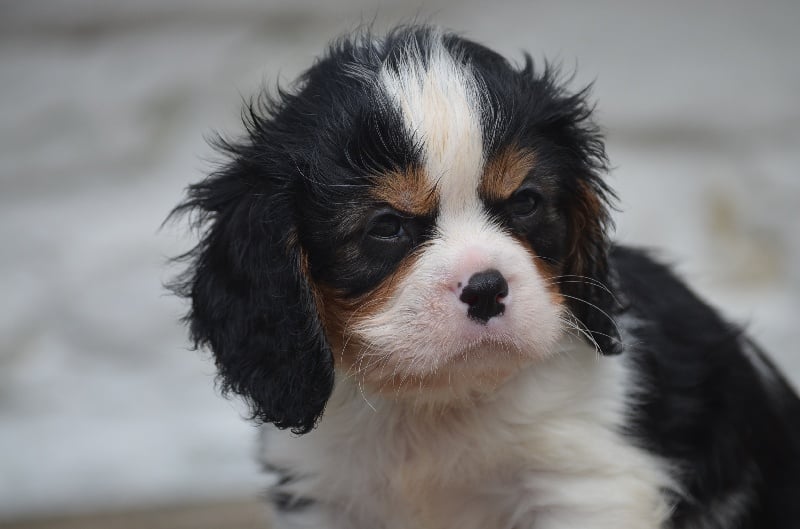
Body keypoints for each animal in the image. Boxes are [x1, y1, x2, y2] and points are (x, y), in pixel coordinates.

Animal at [172, 25, 800, 528]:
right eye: (386, 227)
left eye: (524, 202)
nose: (485, 288)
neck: (436, 403)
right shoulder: (323, 498)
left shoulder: (585, 485)